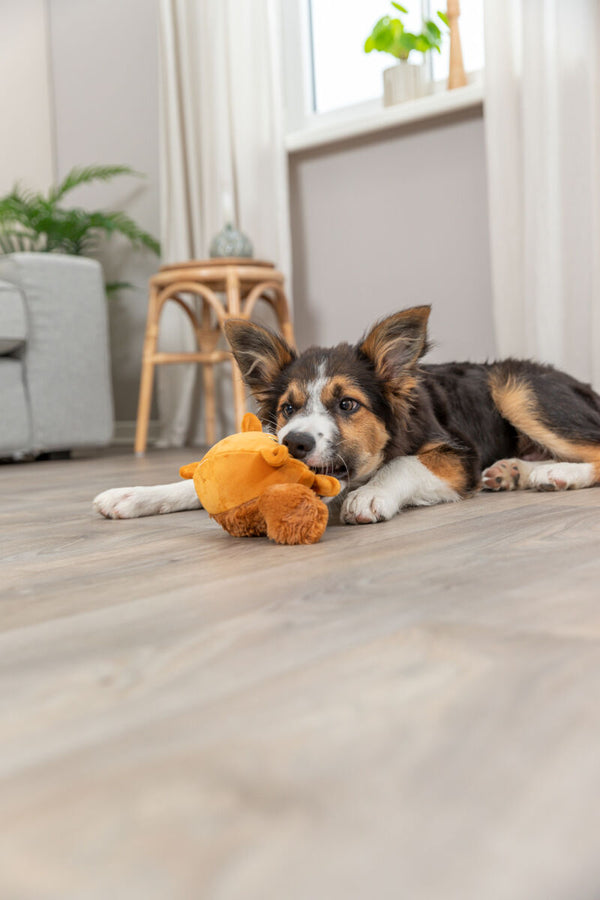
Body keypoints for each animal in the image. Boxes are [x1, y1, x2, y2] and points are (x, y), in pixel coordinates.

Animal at [95, 306, 600, 524]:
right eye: (288, 408)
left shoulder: (459, 455)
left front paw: (370, 495)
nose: (294, 443)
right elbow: (202, 480)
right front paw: (134, 495)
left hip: (518, 391)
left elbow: (403, 463)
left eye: (347, 405)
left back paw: (555, 473)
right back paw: (515, 470)